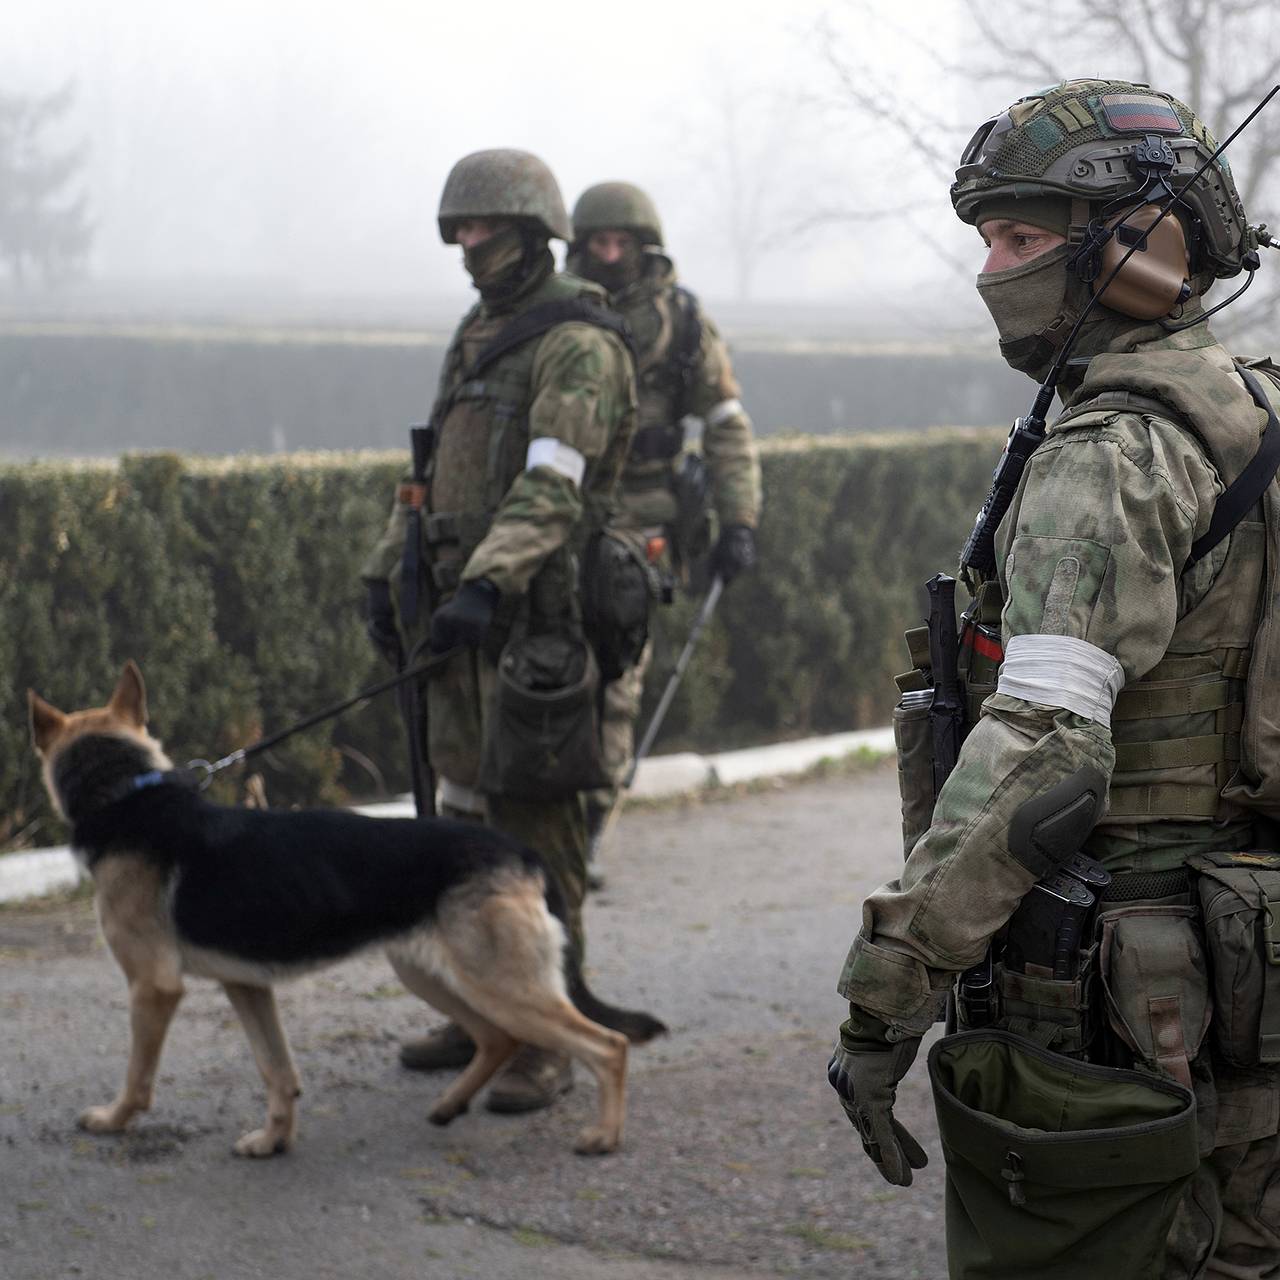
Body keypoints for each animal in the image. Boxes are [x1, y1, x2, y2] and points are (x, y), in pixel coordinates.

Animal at [24, 665, 665, 1157]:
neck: (126, 792)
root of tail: (520, 850)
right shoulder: (247, 987)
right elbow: (278, 1072)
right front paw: (274, 1141)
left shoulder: (152, 989)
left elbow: (138, 1076)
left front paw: (112, 1120)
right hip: (432, 974)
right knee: (497, 1039)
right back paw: (450, 1103)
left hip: (500, 984)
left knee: (608, 1046)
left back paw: (604, 1136)